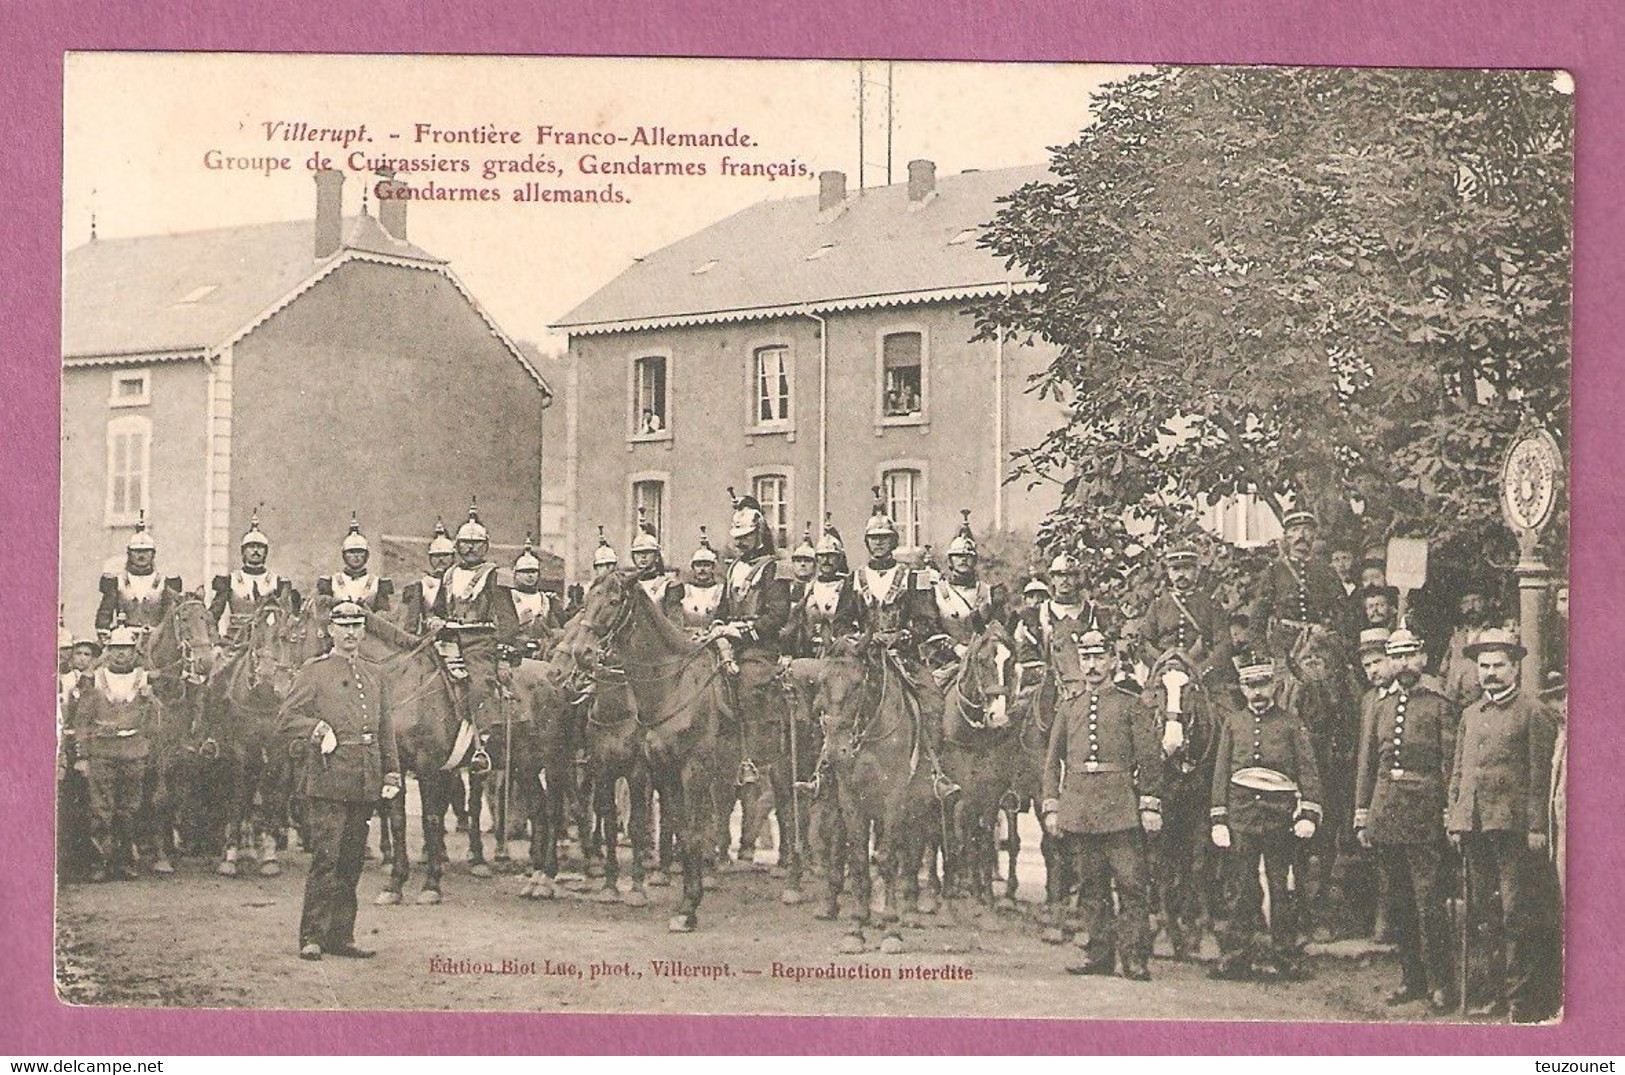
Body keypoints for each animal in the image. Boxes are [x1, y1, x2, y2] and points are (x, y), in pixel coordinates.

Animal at [565, 568, 731, 928]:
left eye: (614, 601)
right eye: (587, 600)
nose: (583, 652)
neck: (674, 686)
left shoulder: (685, 769)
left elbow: (681, 829)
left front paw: (686, 906)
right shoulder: (659, 769)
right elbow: (676, 828)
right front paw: (685, 904)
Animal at [1144, 649, 1222, 961]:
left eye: (1190, 689)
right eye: (1158, 689)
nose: (1172, 745)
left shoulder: (1202, 813)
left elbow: (1198, 868)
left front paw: (1203, 934)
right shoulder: (1162, 815)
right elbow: (1164, 869)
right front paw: (1167, 934)